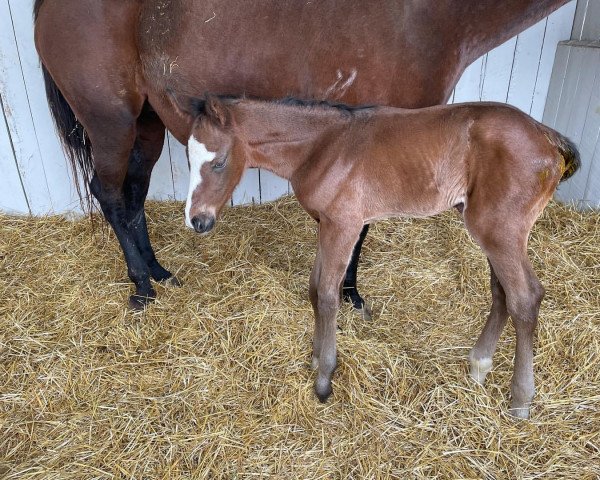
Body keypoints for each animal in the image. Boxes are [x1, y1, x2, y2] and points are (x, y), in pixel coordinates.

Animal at [171, 93, 580, 416]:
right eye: (187, 159)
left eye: (219, 161)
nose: (197, 221)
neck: (322, 147)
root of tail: (549, 138)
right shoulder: (326, 225)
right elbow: (314, 289)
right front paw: (316, 358)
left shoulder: (345, 226)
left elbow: (328, 296)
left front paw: (324, 379)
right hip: (491, 230)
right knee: (502, 292)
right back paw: (478, 367)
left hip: (500, 229)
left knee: (525, 297)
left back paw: (520, 401)